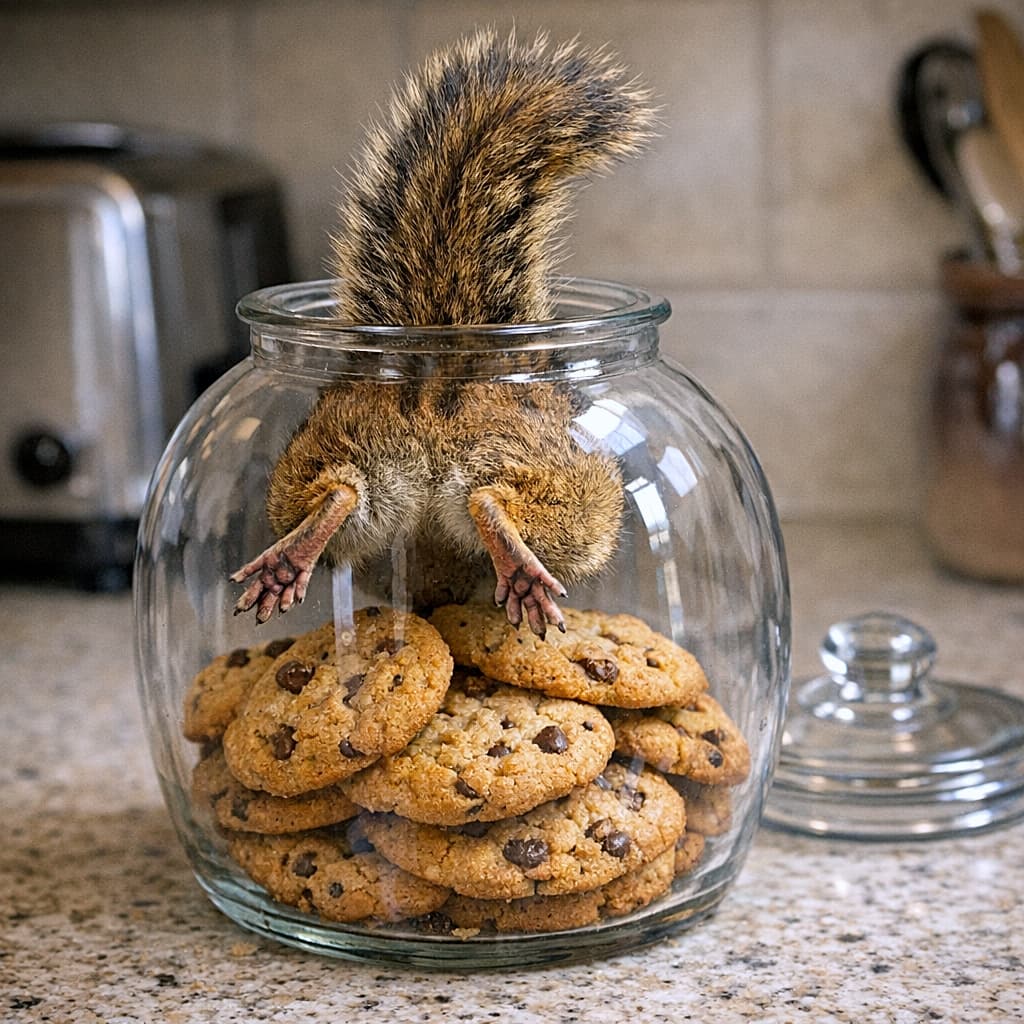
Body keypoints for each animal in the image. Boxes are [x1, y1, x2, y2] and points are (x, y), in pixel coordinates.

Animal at [231, 28, 656, 638]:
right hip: (582, 496)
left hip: (330, 450)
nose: (432, 604)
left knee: (344, 490)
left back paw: (289, 561)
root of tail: (437, 389)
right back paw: (516, 560)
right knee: (498, 501)